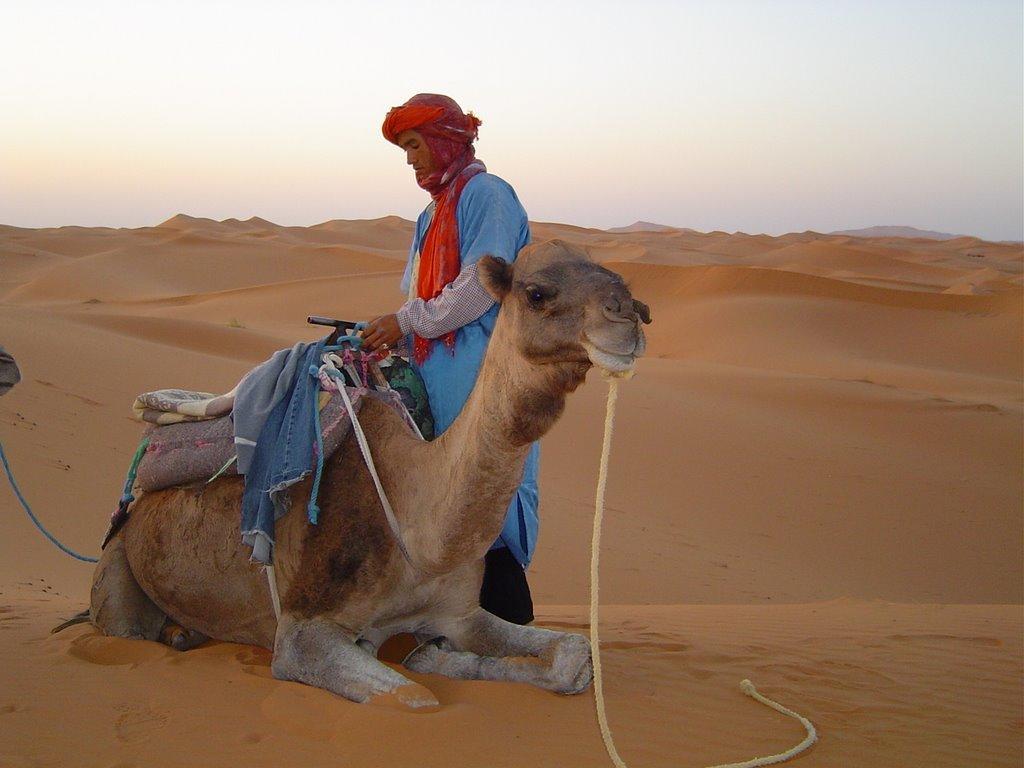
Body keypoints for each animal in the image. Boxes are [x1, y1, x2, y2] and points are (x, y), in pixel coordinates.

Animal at [88, 241, 647, 708]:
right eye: (537, 293)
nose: (631, 318)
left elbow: (574, 654)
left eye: (620, 281)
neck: (414, 525)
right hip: (117, 575)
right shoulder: (301, 632)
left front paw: (438, 655)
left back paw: (184, 633)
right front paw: (431, 662)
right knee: (121, 625)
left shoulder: (459, 613)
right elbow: (413, 698)